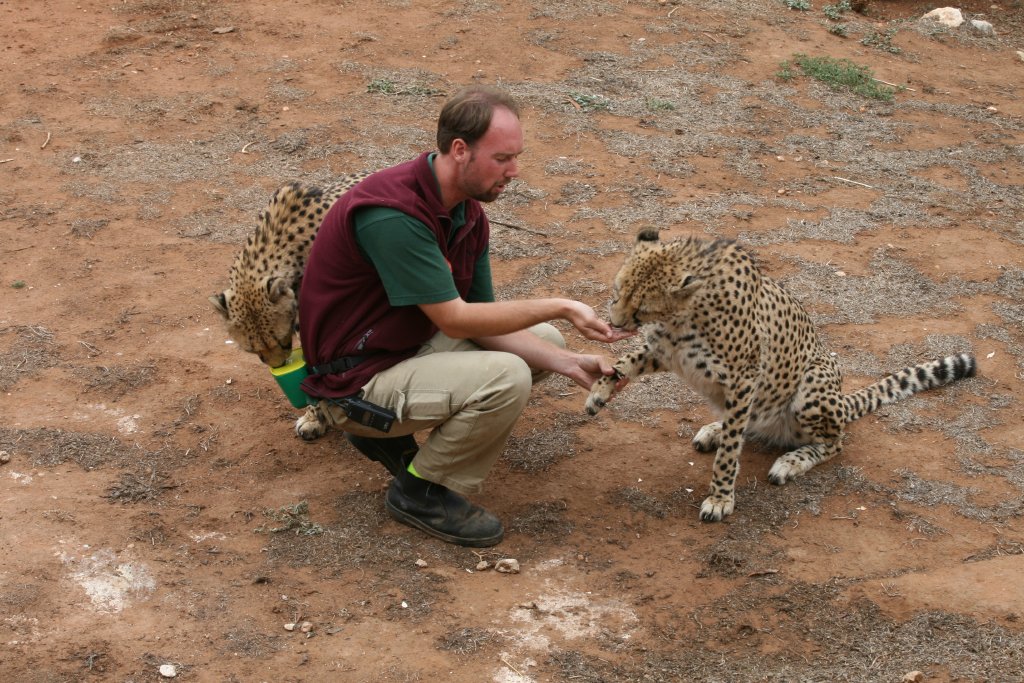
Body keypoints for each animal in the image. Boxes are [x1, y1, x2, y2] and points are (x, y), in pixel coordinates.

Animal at [585, 228, 977, 522]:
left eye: (641, 308)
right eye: (617, 293)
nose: (614, 323)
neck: (684, 312)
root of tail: (842, 400)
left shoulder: (744, 378)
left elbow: (730, 451)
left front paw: (720, 498)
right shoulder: (667, 354)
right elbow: (626, 361)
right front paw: (599, 391)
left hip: (813, 385)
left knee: (834, 443)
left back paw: (789, 461)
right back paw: (715, 429)